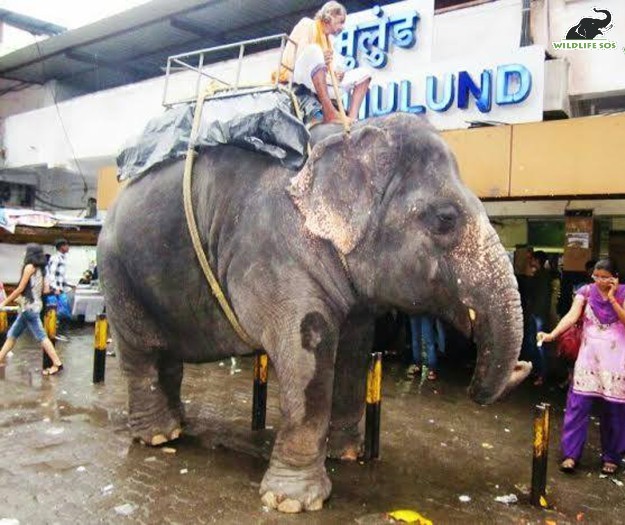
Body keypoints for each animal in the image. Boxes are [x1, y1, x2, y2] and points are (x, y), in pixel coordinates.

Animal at [100, 113, 528, 512]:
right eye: (445, 219)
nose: (521, 367)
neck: (351, 137)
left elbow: (354, 350)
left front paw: (347, 455)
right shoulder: (277, 258)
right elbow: (306, 353)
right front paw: (292, 502)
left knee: (166, 358)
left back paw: (178, 425)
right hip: (117, 274)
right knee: (141, 353)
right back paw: (158, 437)